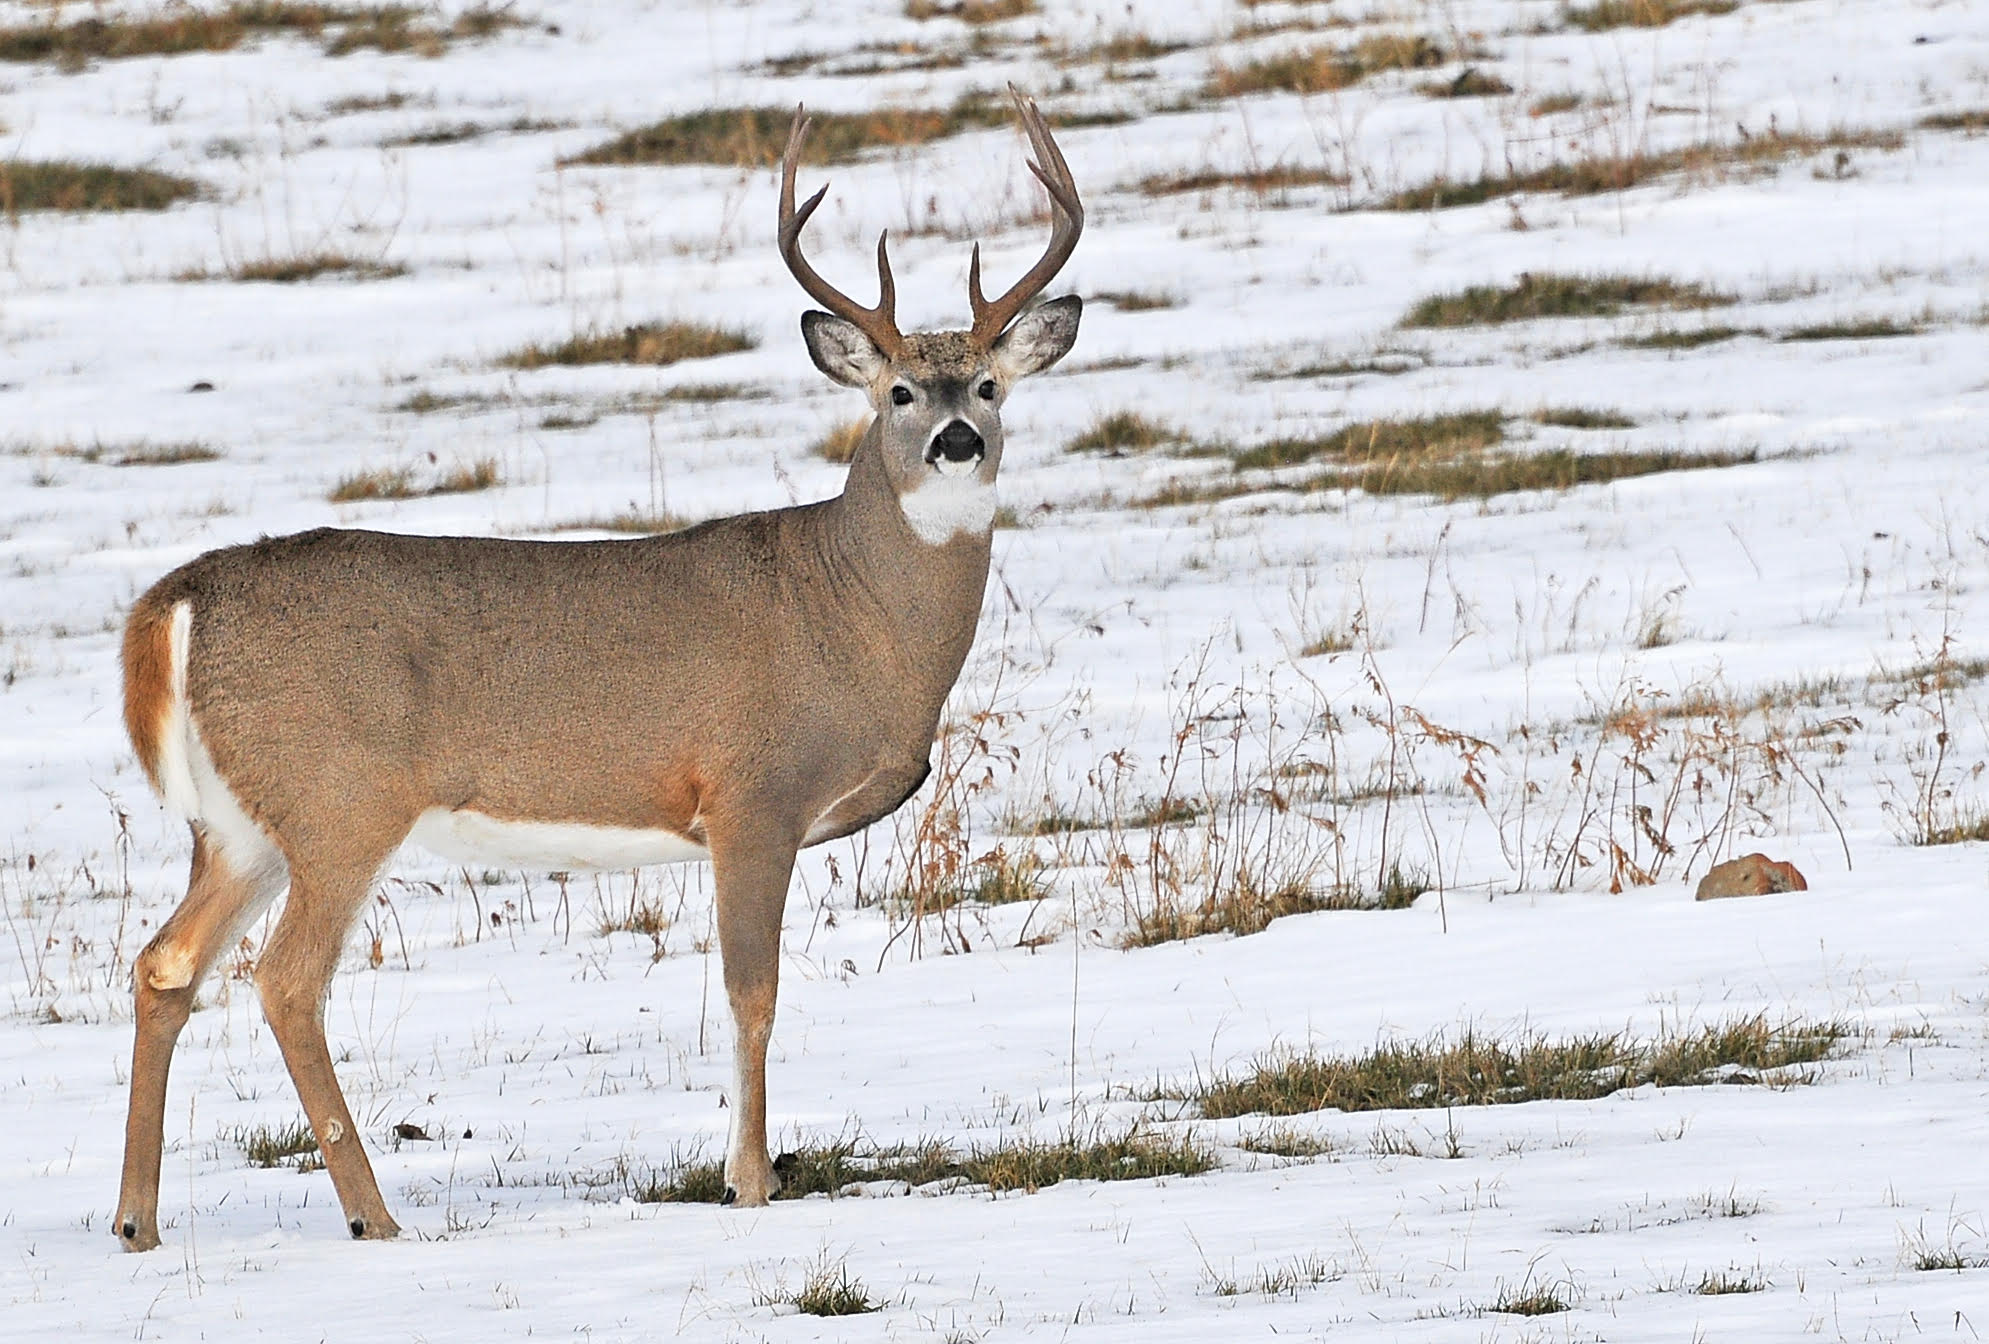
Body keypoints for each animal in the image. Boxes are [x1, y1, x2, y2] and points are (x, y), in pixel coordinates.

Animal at [116, 91, 1082, 1248]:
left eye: (986, 384)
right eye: (897, 391)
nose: (954, 440)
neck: (850, 612)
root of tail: (181, 598)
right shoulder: (753, 793)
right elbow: (752, 992)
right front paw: (750, 1182)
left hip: (242, 822)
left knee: (165, 964)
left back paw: (136, 1223)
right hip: (342, 798)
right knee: (286, 981)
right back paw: (374, 1219)